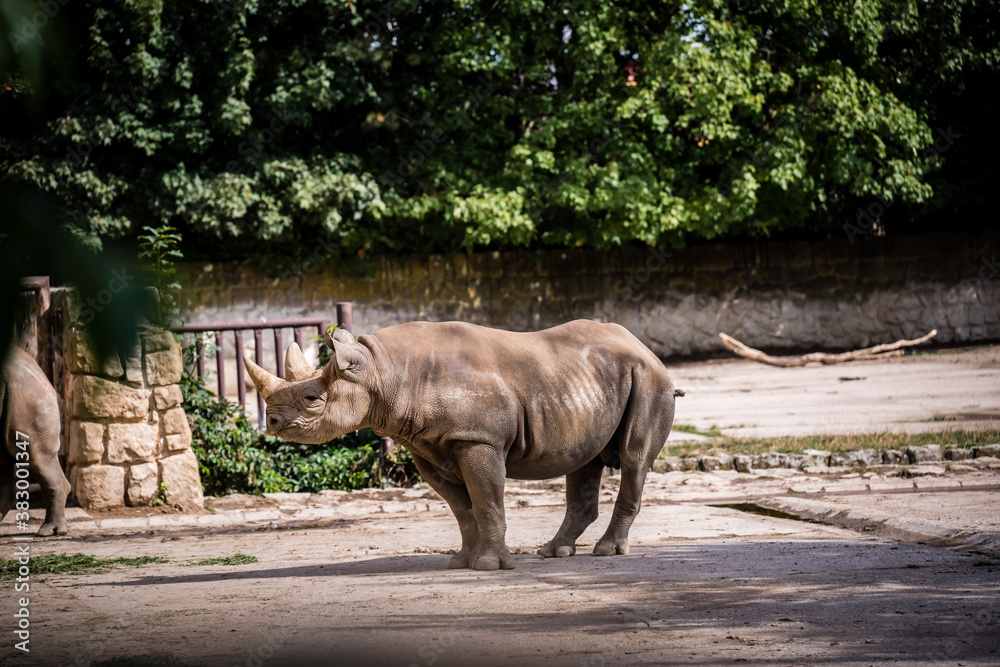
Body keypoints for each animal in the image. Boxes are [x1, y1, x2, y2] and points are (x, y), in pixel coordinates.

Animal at [245, 320, 680, 572]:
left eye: (312, 399)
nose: (274, 423)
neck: (383, 371)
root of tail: (643, 347)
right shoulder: (428, 445)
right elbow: (462, 509)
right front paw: (461, 562)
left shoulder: (476, 439)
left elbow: (486, 500)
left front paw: (488, 566)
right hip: (592, 381)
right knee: (583, 461)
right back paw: (552, 553)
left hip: (649, 379)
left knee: (634, 458)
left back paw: (607, 552)